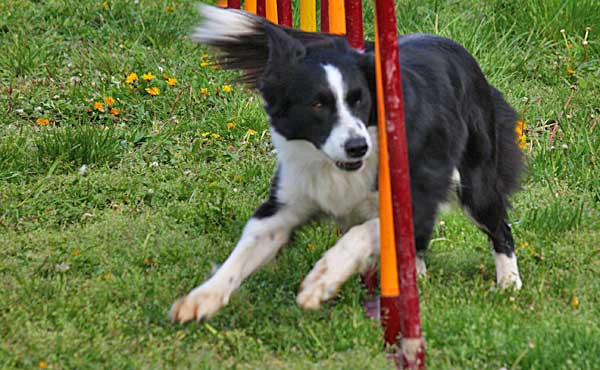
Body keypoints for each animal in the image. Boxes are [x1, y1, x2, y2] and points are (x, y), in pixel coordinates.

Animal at [171, 4, 524, 322]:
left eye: (360, 99)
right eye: (317, 105)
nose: (357, 147)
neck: (335, 167)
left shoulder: (410, 194)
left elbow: (359, 234)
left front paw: (321, 281)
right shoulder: (289, 199)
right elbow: (245, 249)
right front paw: (201, 298)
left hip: (476, 179)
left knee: (499, 226)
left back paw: (509, 284)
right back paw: (418, 277)